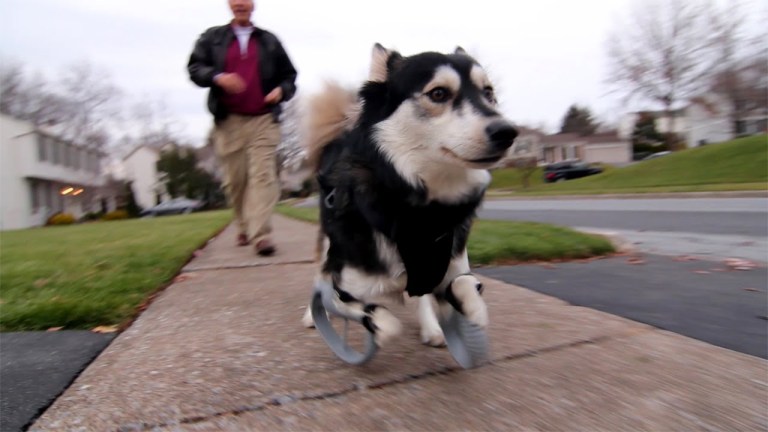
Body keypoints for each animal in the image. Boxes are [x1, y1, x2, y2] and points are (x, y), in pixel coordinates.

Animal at [300, 44, 516, 348]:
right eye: (438, 93)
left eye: (488, 92)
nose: (507, 132)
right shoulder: (343, 287)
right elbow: (384, 321)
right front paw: (375, 327)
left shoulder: (449, 265)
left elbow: (465, 285)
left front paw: (471, 308)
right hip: (329, 242)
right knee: (319, 276)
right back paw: (312, 315)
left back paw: (432, 327)